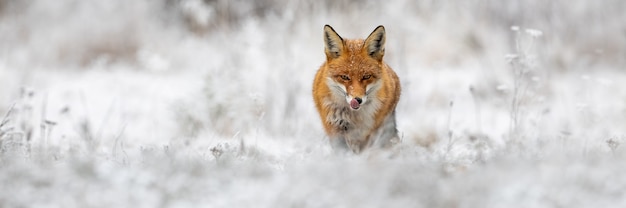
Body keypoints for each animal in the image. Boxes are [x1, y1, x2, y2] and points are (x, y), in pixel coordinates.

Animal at [310, 25, 400, 154]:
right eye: (344, 77)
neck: (355, 117)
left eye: (366, 76)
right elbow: (342, 151)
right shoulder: (335, 126)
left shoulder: (367, 131)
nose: (357, 100)